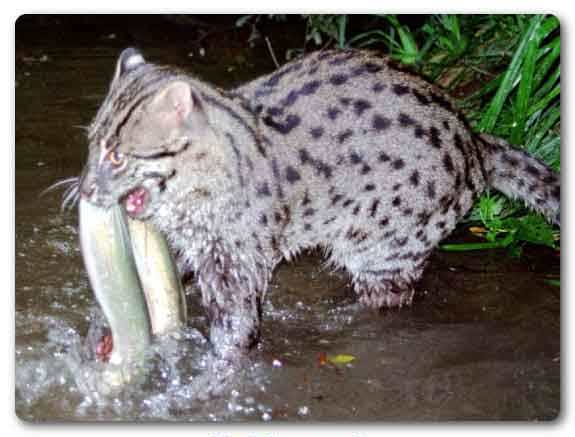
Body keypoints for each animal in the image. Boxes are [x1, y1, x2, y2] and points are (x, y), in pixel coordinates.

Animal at [79, 46, 560, 358]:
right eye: (90, 144)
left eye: (116, 155)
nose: (84, 190)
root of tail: (476, 142)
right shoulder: (201, 244)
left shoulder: (236, 254)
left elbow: (236, 327)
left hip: (385, 248)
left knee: (389, 294)